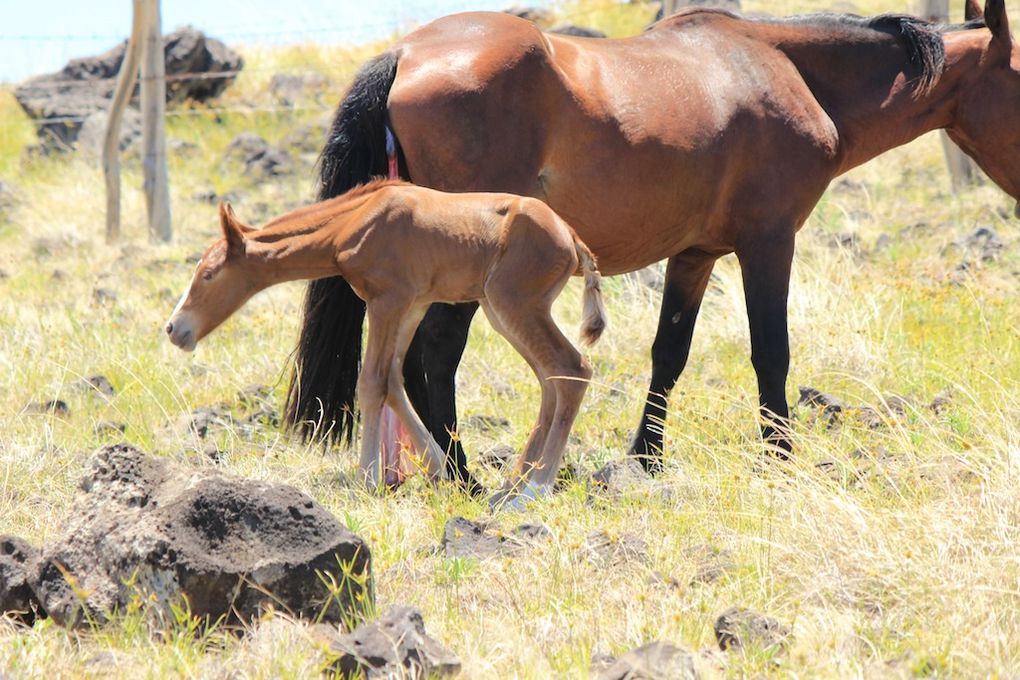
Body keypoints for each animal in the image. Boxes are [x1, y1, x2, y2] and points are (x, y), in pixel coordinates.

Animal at [163, 180, 599, 499]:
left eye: (209, 274)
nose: (174, 329)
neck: (359, 217)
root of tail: (571, 237)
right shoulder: (412, 305)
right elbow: (392, 379)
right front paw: (436, 467)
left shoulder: (386, 301)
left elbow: (371, 382)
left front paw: (367, 480)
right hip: (501, 311)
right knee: (550, 378)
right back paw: (513, 485)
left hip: (514, 305)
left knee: (573, 368)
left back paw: (534, 489)